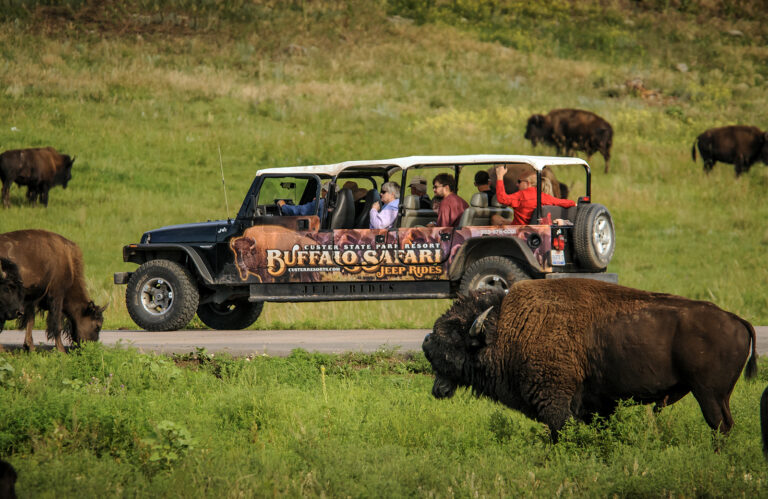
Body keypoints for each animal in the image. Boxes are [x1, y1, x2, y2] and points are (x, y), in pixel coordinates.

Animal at [423, 279, 757, 442]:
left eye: (454, 334)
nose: (426, 342)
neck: (507, 325)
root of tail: (737, 320)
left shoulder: (555, 402)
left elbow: (559, 433)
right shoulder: (596, 405)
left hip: (709, 394)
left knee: (720, 426)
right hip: (717, 396)